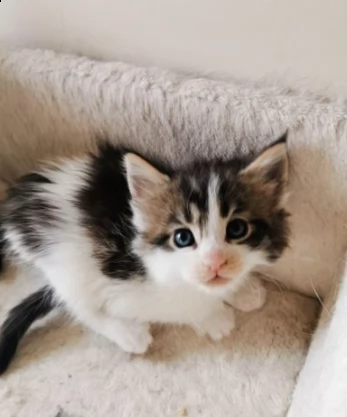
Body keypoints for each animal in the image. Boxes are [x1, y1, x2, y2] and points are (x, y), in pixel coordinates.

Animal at [0, 134, 290, 374]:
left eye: (237, 229)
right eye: (183, 238)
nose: (215, 262)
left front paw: (243, 290)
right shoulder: (125, 285)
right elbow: (177, 306)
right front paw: (213, 317)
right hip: (66, 257)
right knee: (78, 303)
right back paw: (128, 333)